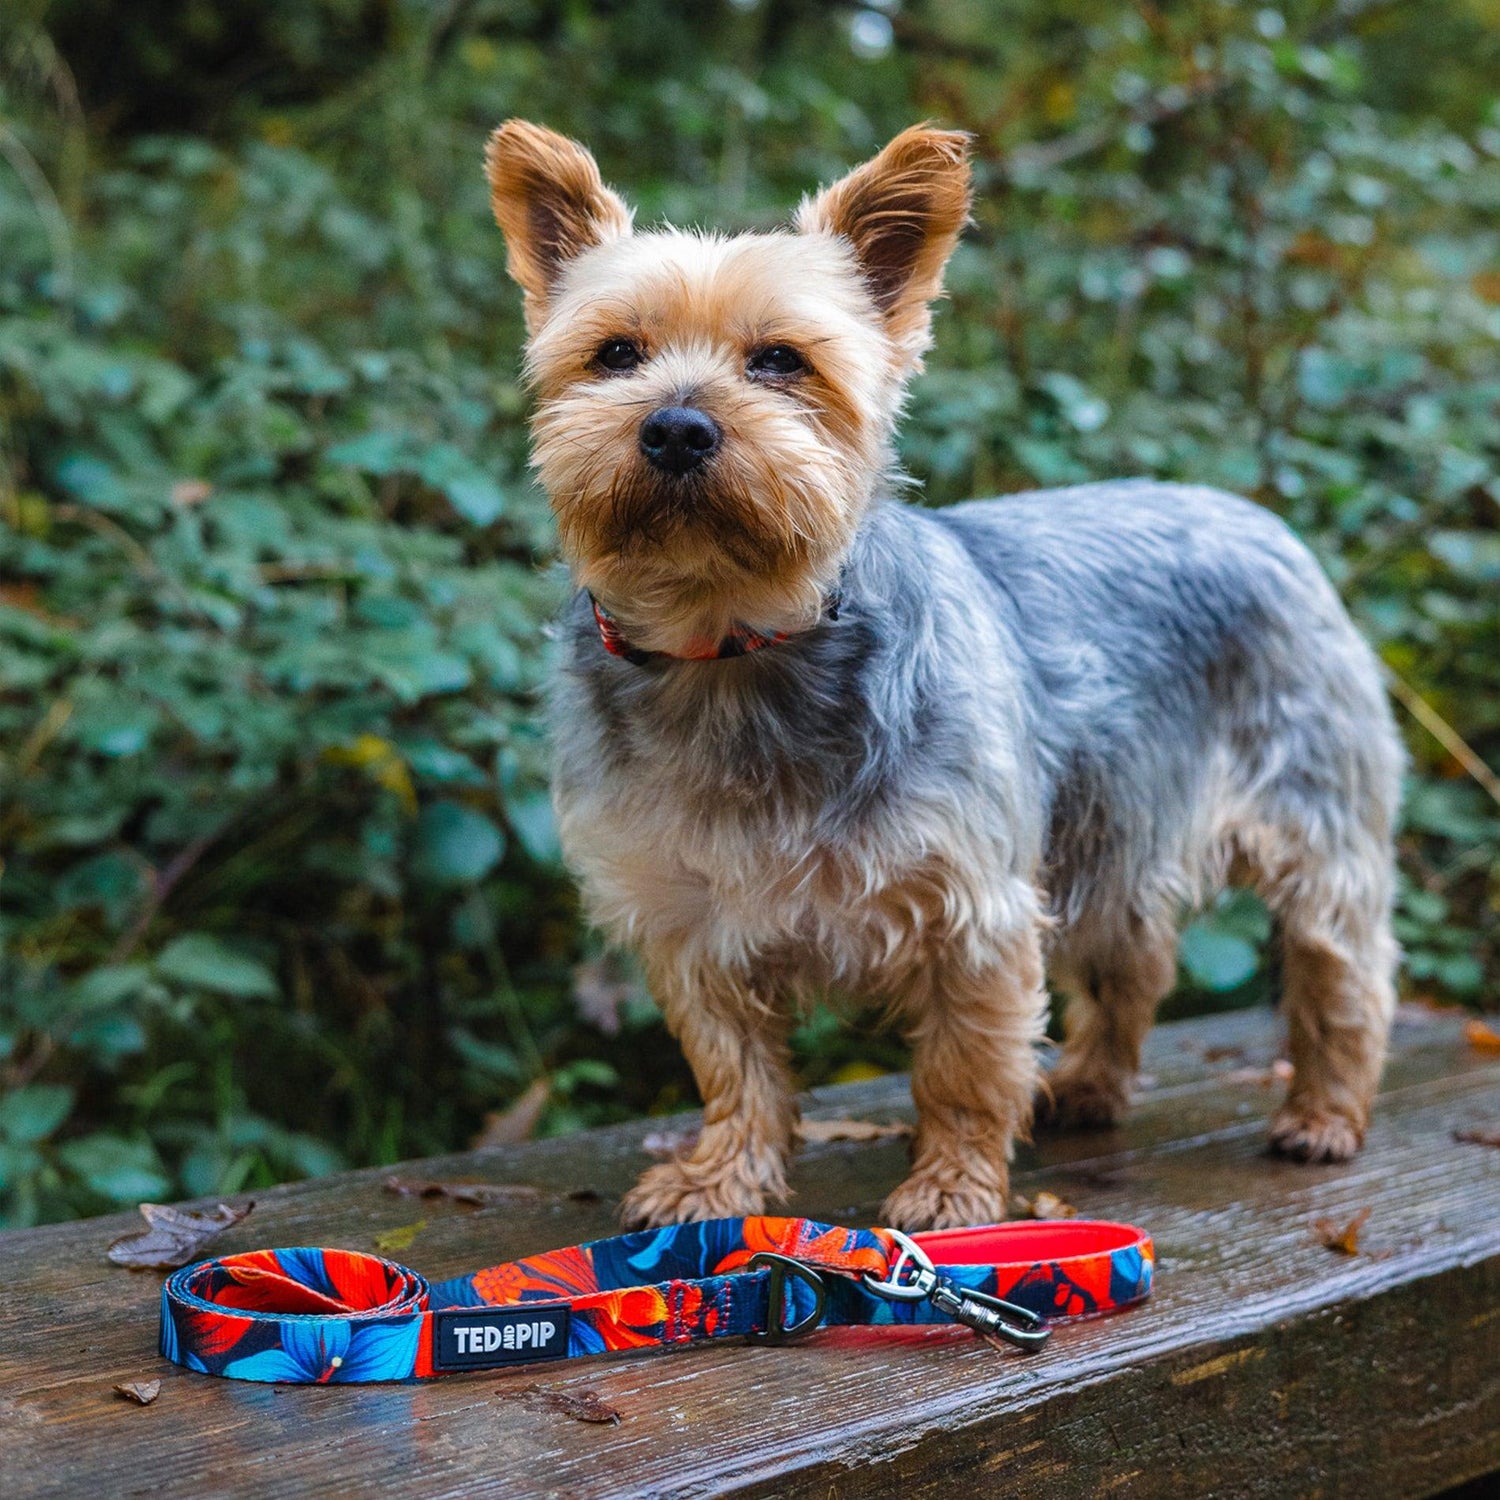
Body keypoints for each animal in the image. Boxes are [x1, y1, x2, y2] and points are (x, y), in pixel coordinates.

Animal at [483, 120, 1404, 1230]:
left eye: (780, 361)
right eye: (615, 353)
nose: (675, 427)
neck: (732, 645)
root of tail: (1252, 511)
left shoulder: (976, 909)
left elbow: (965, 1065)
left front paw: (951, 1192)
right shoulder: (687, 916)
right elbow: (732, 1065)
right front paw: (722, 1179)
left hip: (1316, 821)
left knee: (1343, 973)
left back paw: (1325, 1113)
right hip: (1118, 820)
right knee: (1133, 959)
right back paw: (1091, 1086)